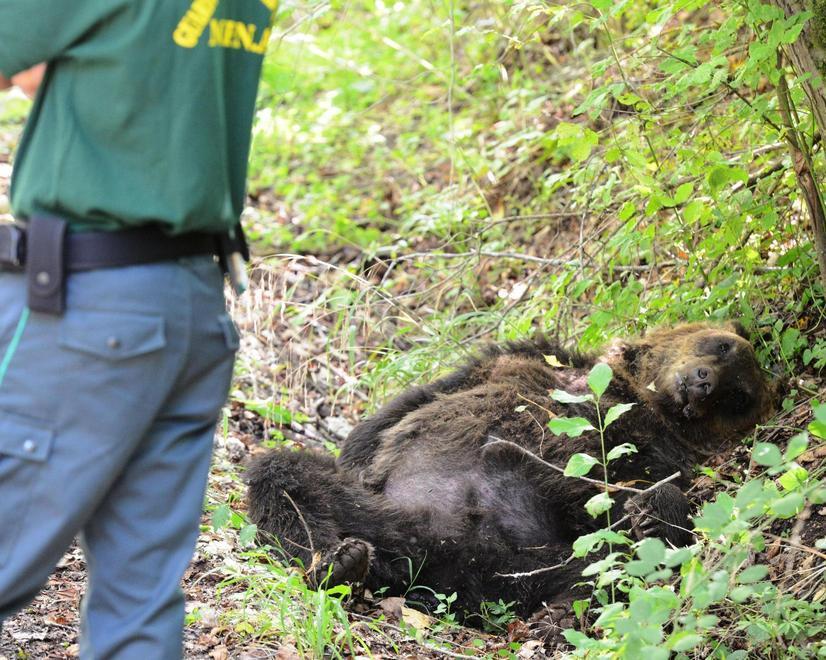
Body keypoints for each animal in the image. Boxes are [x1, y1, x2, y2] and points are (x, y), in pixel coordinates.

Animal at [246, 322, 773, 627]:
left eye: (738, 396)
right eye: (720, 346)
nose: (704, 384)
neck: (628, 392)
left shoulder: (653, 447)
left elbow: (645, 491)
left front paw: (652, 508)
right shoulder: (521, 358)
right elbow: (405, 406)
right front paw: (358, 454)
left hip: (530, 564)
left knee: (609, 565)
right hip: (378, 513)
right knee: (285, 475)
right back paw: (339, 561)